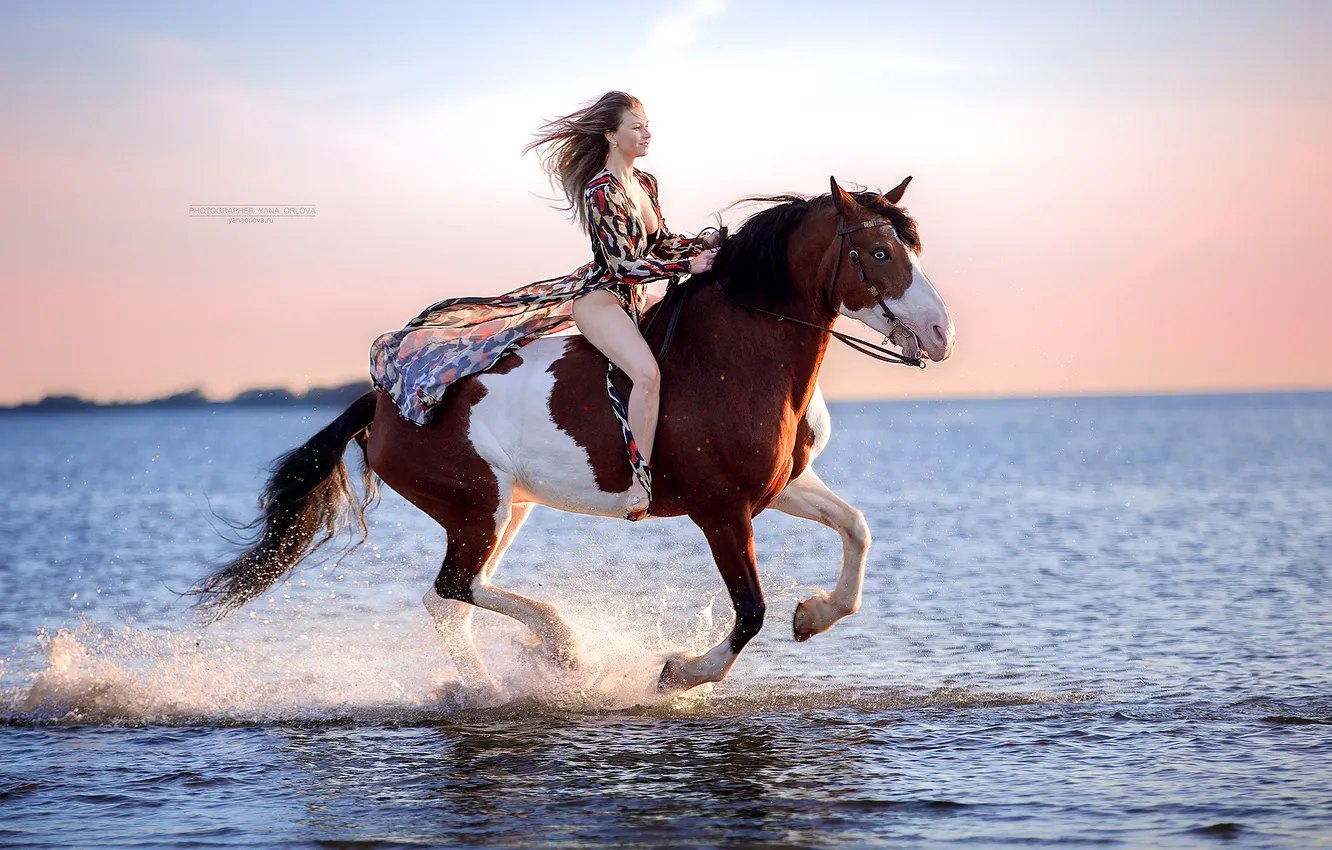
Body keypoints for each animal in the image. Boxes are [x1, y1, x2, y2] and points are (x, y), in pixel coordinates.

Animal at [193, 177, 955, 695]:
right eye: (879, 252)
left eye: (912, 246)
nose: (940, 333)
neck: (737, 357)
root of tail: (382, 404)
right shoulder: (721, 511)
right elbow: (749, 611)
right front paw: (680, 672)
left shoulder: (781, 487)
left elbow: (856, 530)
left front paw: (816, 615)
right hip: (477, 507)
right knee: (455, 589)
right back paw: (555, 653)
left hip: (505, 511)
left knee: (450, 600)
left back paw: (501, 681)